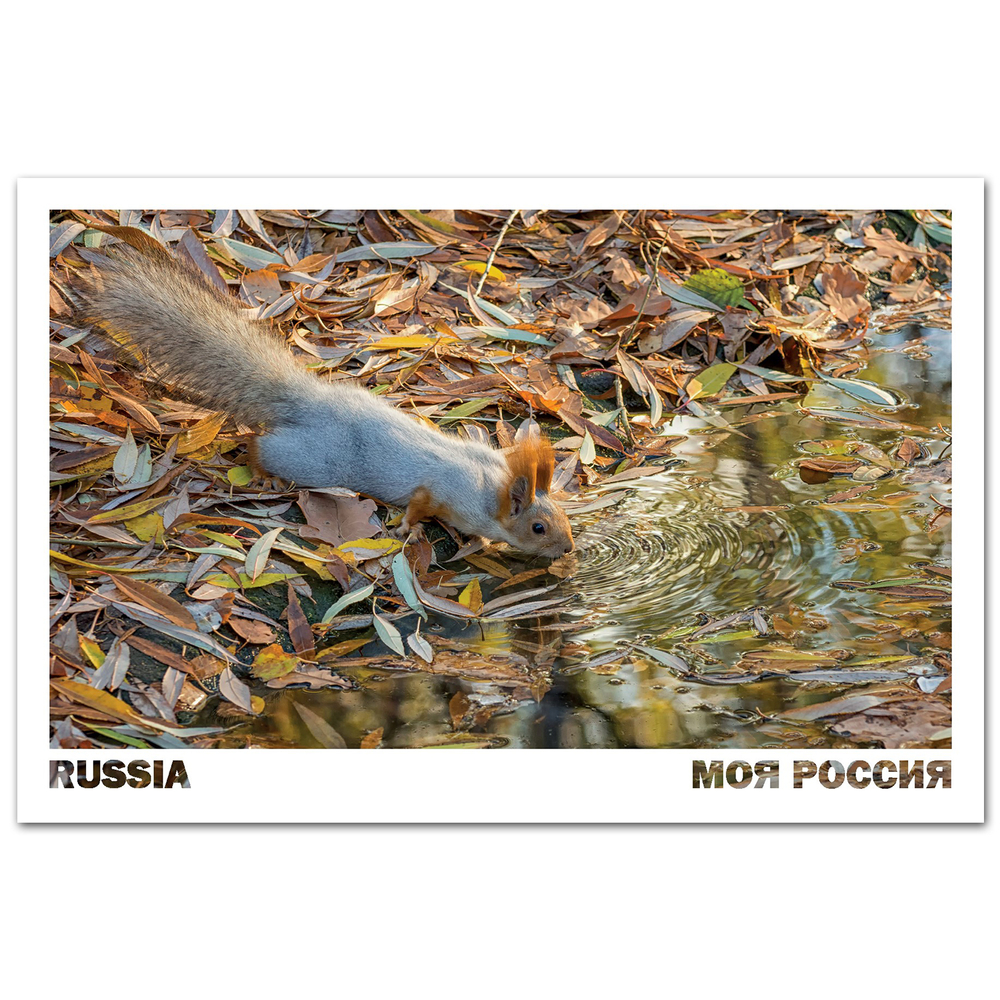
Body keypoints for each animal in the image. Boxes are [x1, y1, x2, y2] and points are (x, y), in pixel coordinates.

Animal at [75, 227, 575, 559]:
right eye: (538, 527)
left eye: (564, 517)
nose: (569, 550)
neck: (494, 489)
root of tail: (311, 401)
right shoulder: (441, 492)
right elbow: (419, 505)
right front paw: (410, 531)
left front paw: (481, 542)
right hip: (316, 459)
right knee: (262, 446)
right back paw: (264, 472)